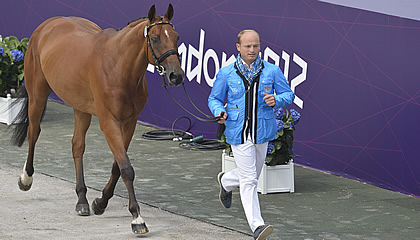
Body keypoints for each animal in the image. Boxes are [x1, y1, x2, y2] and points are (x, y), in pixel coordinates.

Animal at [9, 3, 183, 233]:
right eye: (154, 38)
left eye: (176, 37)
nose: (176, 76)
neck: (118, 67)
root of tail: (50, 23)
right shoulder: (109, 123)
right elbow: (126, 168)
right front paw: (137, 218)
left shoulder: (129, 123)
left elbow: (117, 166)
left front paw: (100, 202)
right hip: (37, 95)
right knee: (34, 132)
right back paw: (26, 178)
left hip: (80, 107)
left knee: (77, 146)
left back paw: (82, 199)